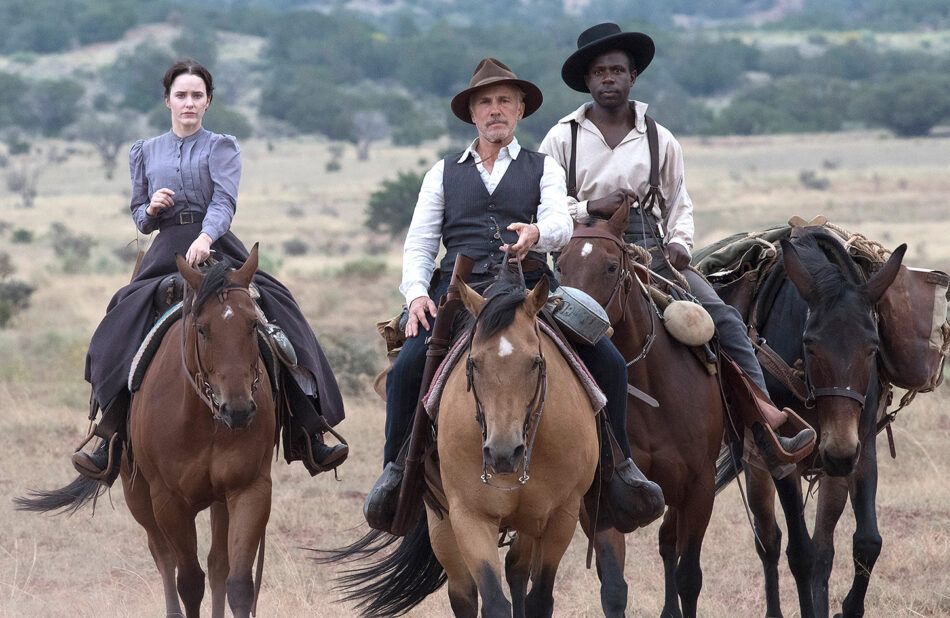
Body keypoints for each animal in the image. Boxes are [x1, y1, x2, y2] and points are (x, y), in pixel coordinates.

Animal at [17, 246, 275, 618]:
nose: (238, 410)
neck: (204, 419)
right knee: (163, 557)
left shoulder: (249, 489)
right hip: (137, 492)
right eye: (202, 329)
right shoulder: (168, 500)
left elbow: (238, 584)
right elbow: (188, 581)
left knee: (217, 565)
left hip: (217, 500)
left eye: (253, 324)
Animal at [323, 273, 598, 617]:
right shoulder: (470, 516)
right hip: (441, 524)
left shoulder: (562, 515)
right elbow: (493, 602)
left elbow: (539, 598)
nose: (503, 453)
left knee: (517, 570)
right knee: (463, 592)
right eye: (474, 363)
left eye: (536, 362)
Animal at [555, 202, 725, 618]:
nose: (569, 331)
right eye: (559, 264)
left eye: (610, 266)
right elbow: (614, 588)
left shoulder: (701, 487)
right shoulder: (601, 499)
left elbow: (689, 577)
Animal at [714, 228, 905, 617]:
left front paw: (847, 608)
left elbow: (866, 542)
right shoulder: (783, 453)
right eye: (810, 344)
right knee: (769, 540)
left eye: (872, 346)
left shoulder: (862, 447)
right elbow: (798, 553)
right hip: (758, 463)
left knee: (824, 548)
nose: (838, 452)